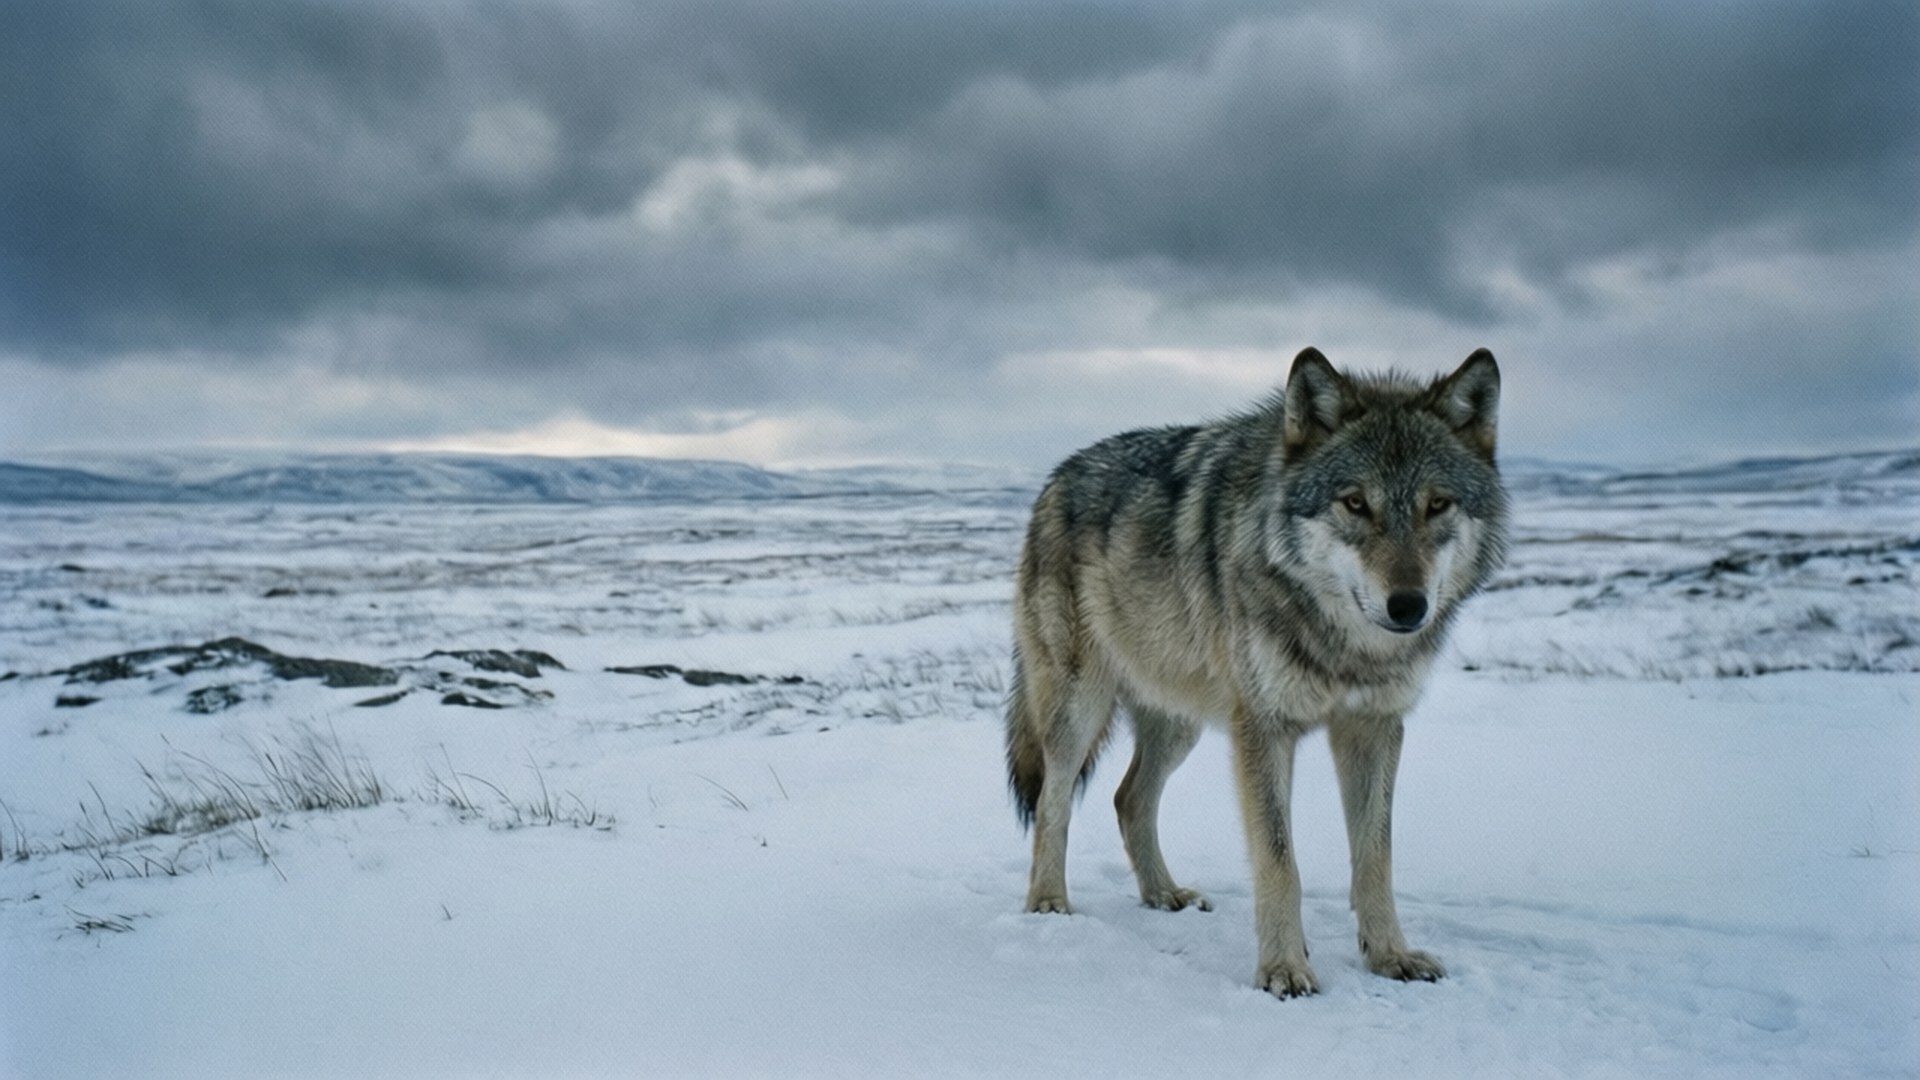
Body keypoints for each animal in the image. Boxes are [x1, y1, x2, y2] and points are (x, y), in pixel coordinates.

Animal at [1005, 346, 1509, 998]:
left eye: (1438, 503)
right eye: (1355, 502)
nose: (1408, 606)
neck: (1344, 646)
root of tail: (1055, 477)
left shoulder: (1373, 728)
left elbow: (1376, 857)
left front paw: (1390, 956)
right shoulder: (1263, 728)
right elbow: (1278, 860)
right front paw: (1284, 969)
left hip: (1181, 720)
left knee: (1128, 798)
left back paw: (1164, 894)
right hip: (1078, 709)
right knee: (1054, 801)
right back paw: (1048, 906)